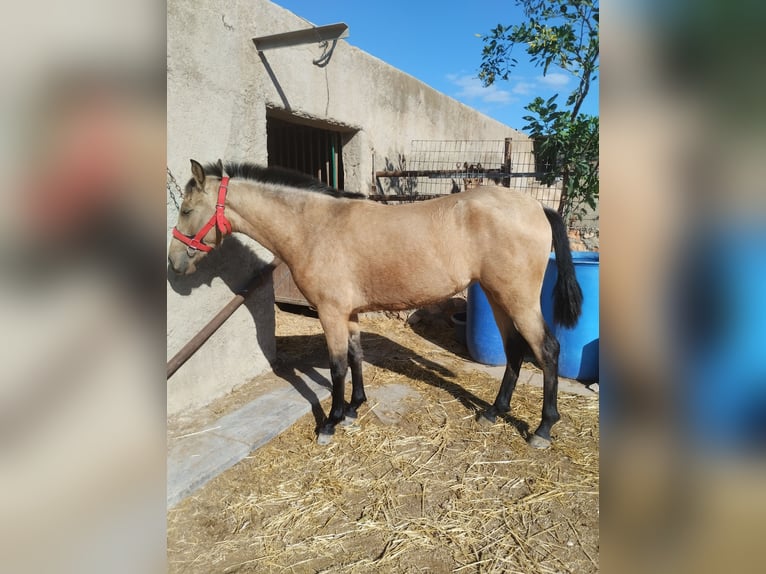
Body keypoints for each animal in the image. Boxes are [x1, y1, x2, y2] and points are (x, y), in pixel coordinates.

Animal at [168, 161, 584, 450]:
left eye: (186, 210)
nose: (174, 264)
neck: (314, 227)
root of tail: (537, 207)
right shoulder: (348, 313)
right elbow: (355, 357)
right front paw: (355, 408)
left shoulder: (330, 313)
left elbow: (337, 366)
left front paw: (331, 422)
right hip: (498, 297)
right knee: (514, 349)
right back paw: (495, 412)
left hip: (518, 299)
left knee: (547, 349)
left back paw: (543, 429)